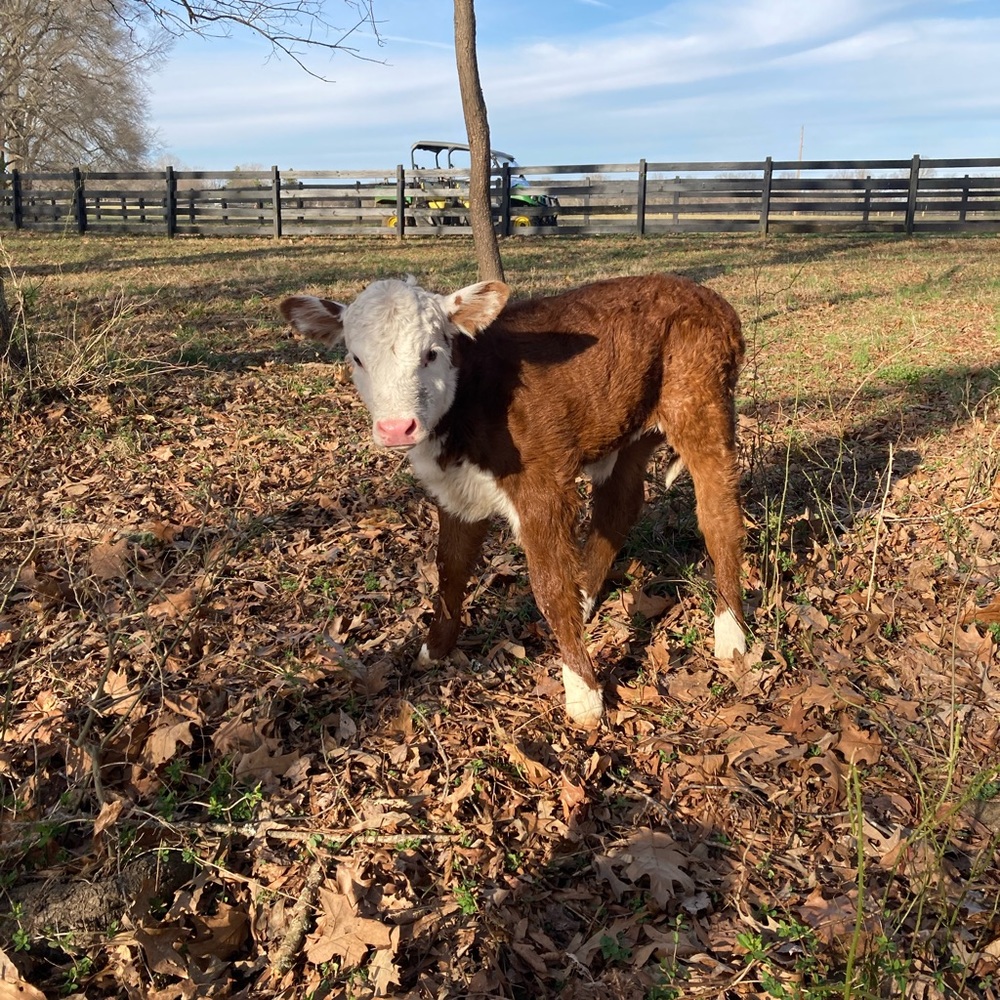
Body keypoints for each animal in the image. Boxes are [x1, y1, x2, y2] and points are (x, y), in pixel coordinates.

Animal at [279, 273, 746, 728]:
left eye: (431, 354)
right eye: (357, 359)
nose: (397, 428)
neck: (469, 396)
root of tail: (707, 296)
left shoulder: (542, 486)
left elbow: (548, 585)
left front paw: (584, 697)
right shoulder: (456, 491)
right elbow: (450, 568)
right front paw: (433, 650)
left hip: (700, 404)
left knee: (718, 513)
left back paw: (731, 634)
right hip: (627, 427)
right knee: (620, 504)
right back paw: (586, 597)